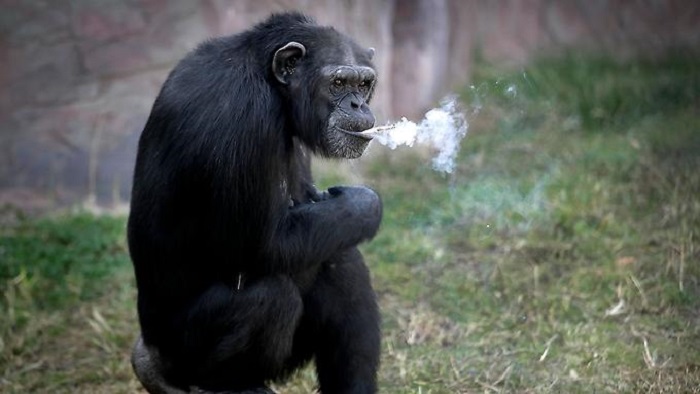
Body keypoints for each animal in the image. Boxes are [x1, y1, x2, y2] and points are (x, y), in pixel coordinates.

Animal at [129, 10, 386, 392]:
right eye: (339, 83)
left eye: (364, 83)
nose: (359, 104)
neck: (270, 82)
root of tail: (153, 356)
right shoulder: (248, 119)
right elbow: (265, 244)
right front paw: (364, 204)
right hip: (183, 356)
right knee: (270, 297)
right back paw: (228, 384)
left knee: (341, 259)